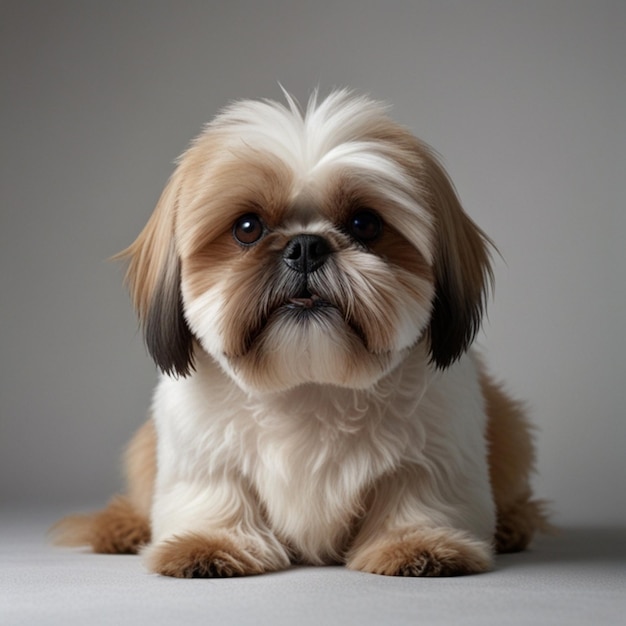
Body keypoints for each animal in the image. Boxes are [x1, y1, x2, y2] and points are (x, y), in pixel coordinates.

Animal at [52, 88, 544, 576]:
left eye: (365, 223)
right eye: (247, 227)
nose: (306, 246)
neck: (309, 384)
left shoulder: (434, 452)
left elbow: (417, 492)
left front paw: (416, 544)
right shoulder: (202, 452)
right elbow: (217, 492)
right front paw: (209, 543)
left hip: (509, 427)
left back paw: (512, 525)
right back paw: (122, 528)